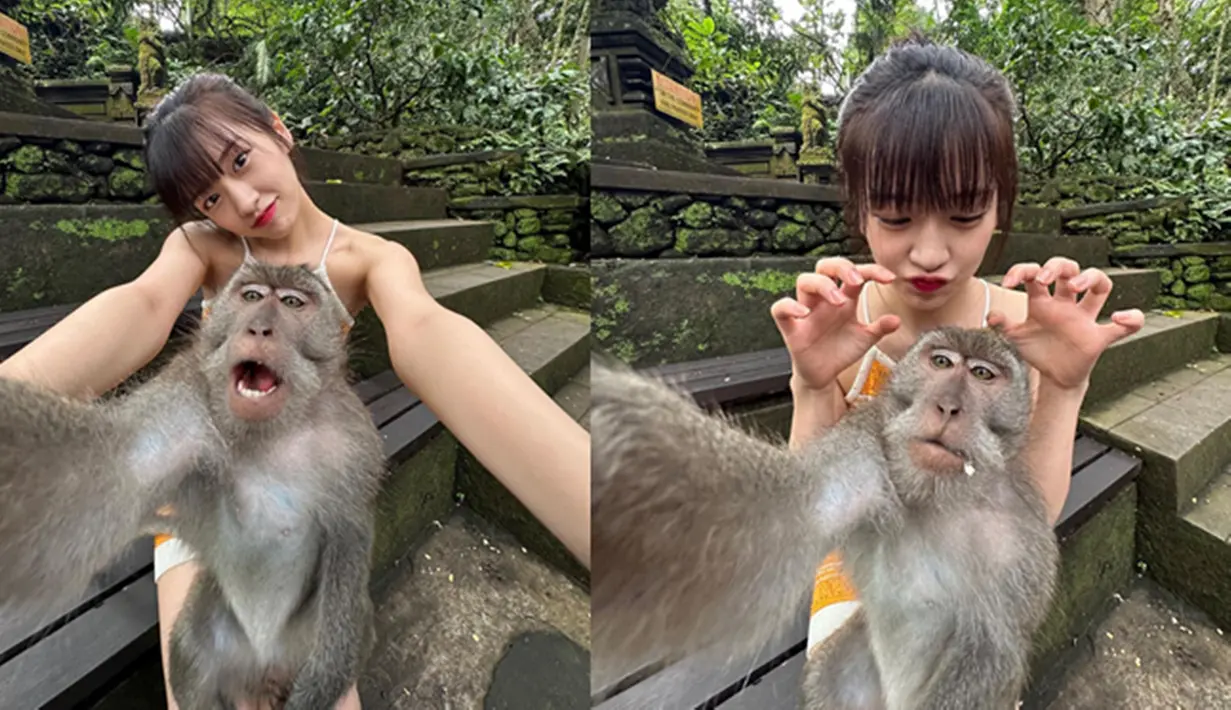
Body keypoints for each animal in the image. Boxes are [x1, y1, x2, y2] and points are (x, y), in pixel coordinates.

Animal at [0, 260, 386, 710]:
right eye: (252, 296)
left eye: (292, 302)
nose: (259, 328)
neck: (269, 431)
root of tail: (262, 660)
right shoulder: (184, 394)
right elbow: (106, 471)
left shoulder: (355, 441)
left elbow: (349, 534)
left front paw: (322, 680)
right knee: (190, 647)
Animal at [590, 326, 1060, 710]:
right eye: (941, 362)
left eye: (983, 375)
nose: (948, 406)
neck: (938, 495)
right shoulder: (865, 438)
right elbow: (793, 509)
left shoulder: (1023, 544)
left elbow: (994, 647)